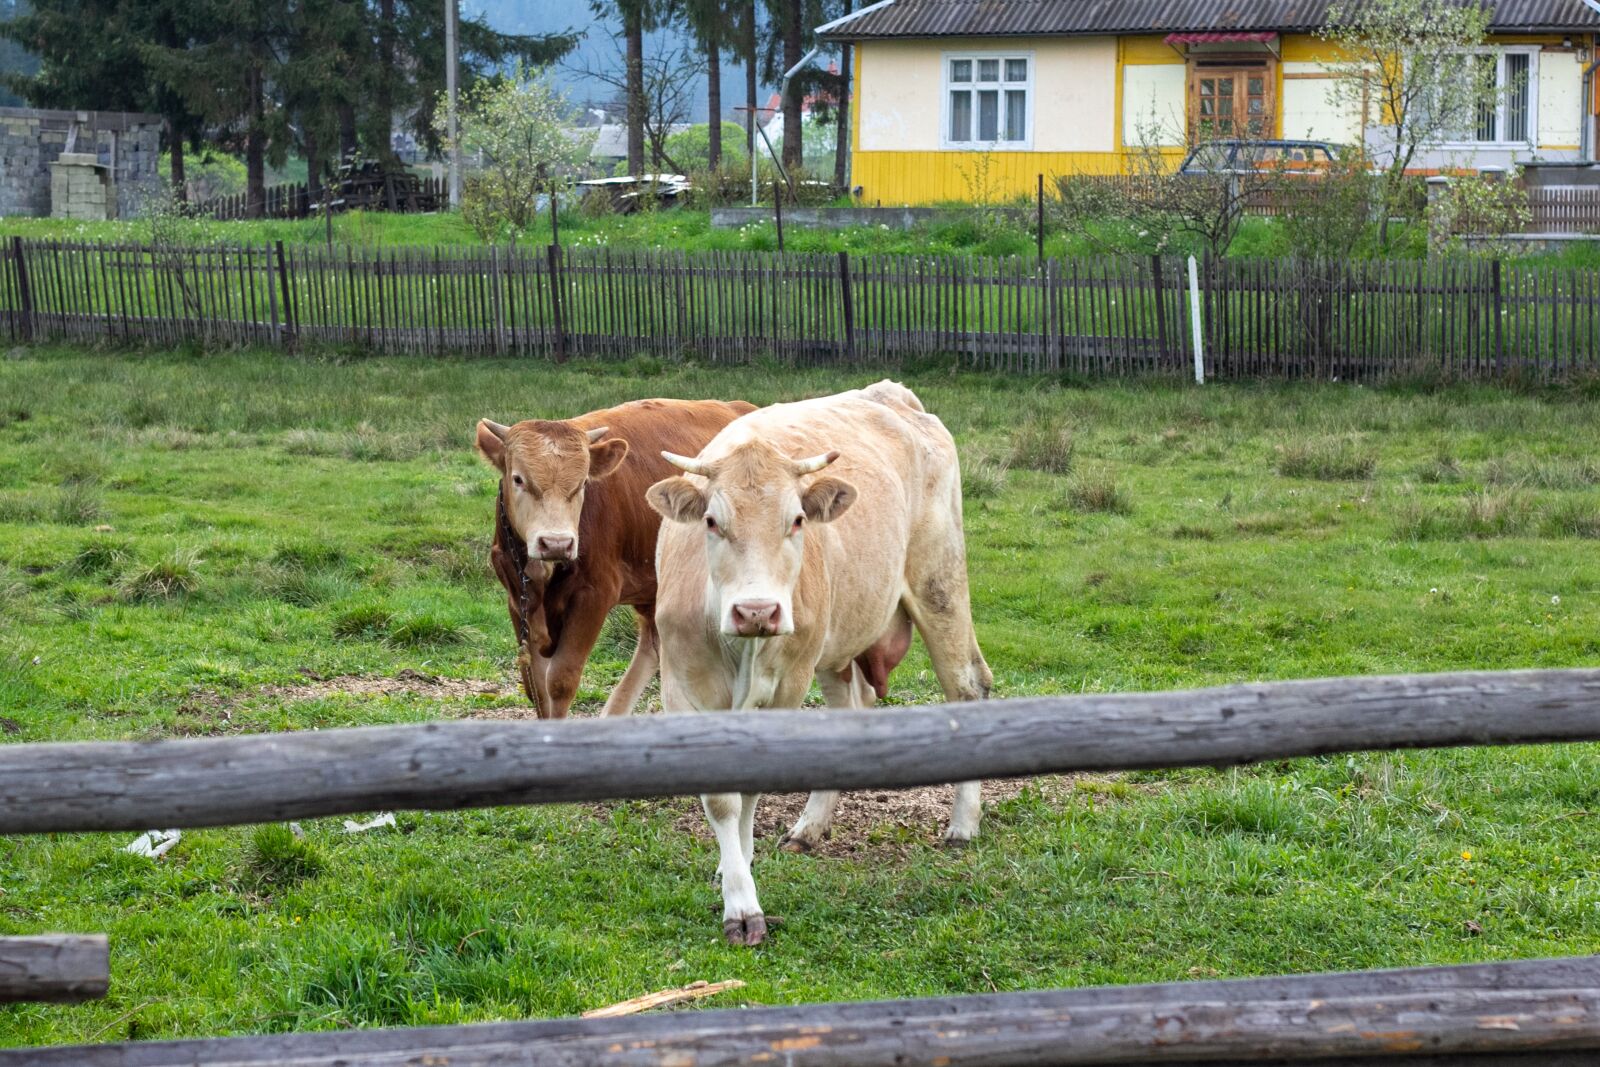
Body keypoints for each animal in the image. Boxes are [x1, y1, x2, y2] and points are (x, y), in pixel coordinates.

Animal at [476, 398, 752, 716]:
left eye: (583, 483)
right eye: (518, 479)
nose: (556, 543)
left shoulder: (594, 594)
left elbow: (560, 680)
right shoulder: (518, 598)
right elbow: (536, 685)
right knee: (654, 644)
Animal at [646, 379, 992, 947]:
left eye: (797, 520)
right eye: (712, 522)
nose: (757, 610)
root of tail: (892, 394)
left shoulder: (786, 685)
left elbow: (749, 789)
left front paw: (743, 897)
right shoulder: (683, 687)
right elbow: (722, 799)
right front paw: (734, 877)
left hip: (939, 586)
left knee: (967, 688)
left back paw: (963, 825)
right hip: (840, 642)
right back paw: (809, 827)